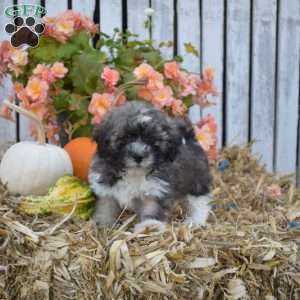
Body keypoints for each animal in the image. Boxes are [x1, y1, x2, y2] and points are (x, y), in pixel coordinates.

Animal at [88, 99, 212, 231]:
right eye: (125, 138)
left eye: (152, 140)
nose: (138, 156)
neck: (134, 173)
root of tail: (189, 138)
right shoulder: (106, 187)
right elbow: (106, 206)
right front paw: (102, 223)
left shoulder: (156, 189)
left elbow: (151, 208)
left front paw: (150, 226)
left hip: (197, 180)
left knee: (199, 200)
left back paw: (196, 220)